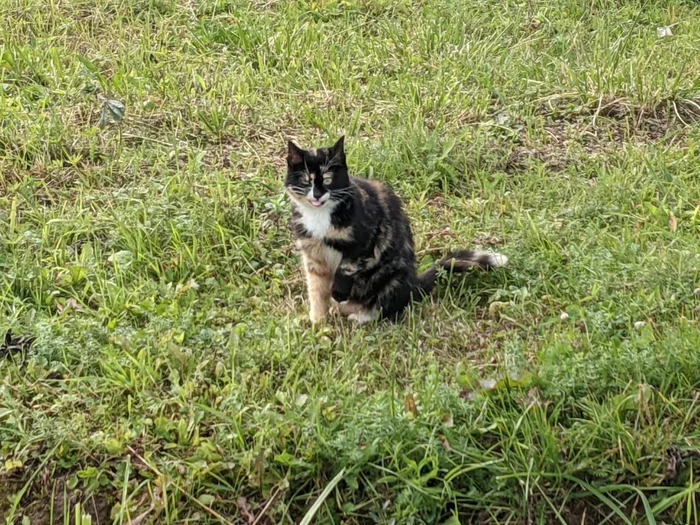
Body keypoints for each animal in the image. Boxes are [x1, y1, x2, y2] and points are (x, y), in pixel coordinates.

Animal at [284, 135, 508, 324]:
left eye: (329, 179)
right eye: (306, 180)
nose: (317, 195)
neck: (320, 217)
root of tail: (414, 284)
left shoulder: (367, 238)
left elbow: (347, 265)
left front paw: (338, 293)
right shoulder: (312, 252)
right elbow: (315, 287)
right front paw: (318, 322)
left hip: (391, 279)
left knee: (383, 308)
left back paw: (360, 316)